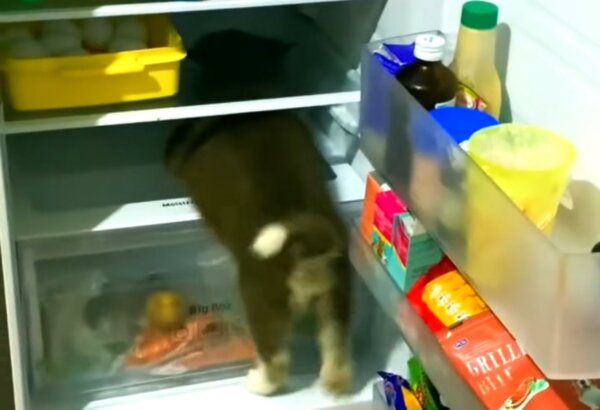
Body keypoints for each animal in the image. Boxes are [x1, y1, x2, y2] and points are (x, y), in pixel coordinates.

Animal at [165, 110, 352, 396]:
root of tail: (304, 246)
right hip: (336, 298)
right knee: (336, 347)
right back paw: (335, 385)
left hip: (263, 302)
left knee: (276, 359)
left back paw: (259, 383)